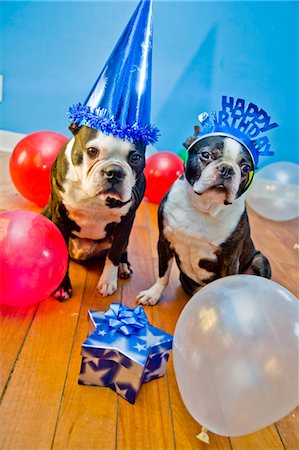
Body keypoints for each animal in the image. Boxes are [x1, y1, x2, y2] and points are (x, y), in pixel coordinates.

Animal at [43, 125, 146, 300]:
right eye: (92, 151)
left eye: (136, 158)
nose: (115, 171)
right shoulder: (59, 214)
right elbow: (60, 252)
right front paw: (62, 286)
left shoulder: (126, 221)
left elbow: (115, 252)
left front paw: (108, 282)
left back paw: (124, 265)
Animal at [138, 130, 272, 306]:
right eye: (206, 155)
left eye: (245, 167)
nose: (227, 169)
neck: (203, 207)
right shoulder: (164, 242)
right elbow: (163, 273)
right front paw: (153, 293)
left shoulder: (230, 258)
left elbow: (227, 283)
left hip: (259, 260)